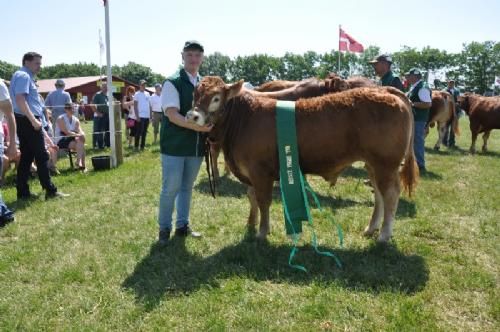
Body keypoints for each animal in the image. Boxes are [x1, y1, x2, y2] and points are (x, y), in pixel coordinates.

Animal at [191, 76, 418, 243]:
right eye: (195, 94)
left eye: (216, 98)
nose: (193, 115)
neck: (244, 118)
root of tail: (384, 91)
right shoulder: (250, 173)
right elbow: (252, 197)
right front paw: (250, 224)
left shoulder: (260, 172)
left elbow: (263, 201)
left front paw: (262, 232)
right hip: (373, 165)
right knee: (379, 194)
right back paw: (371, 228)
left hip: (385, 164)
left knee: (390, 195)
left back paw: (384, 235)